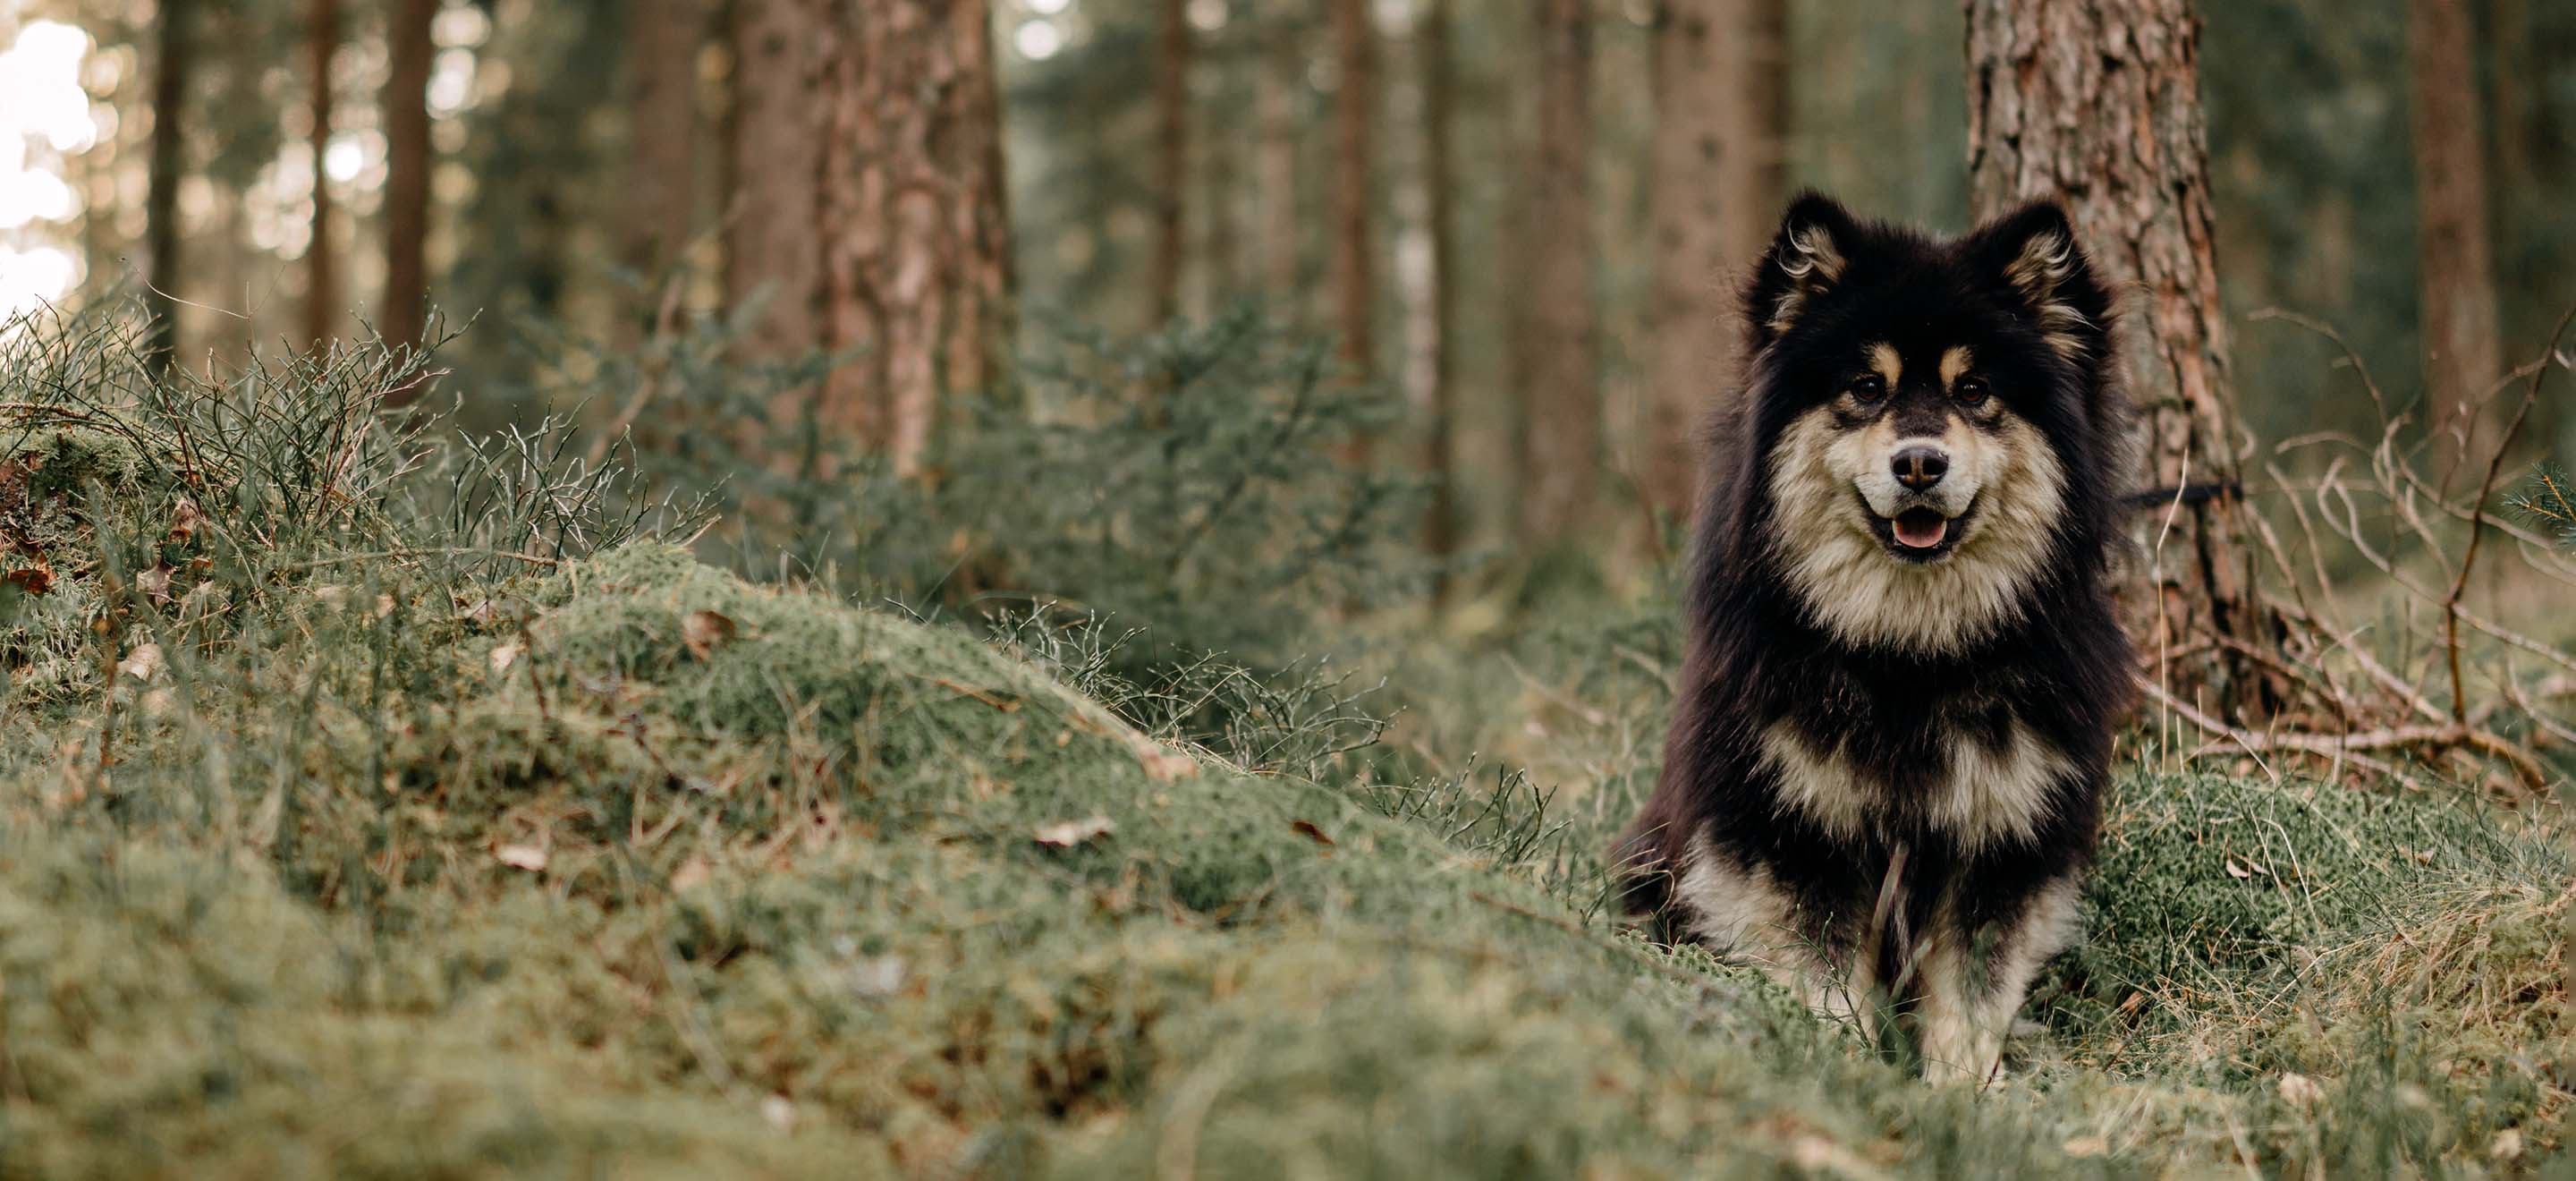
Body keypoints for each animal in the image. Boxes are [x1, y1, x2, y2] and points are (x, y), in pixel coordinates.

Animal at [1617, 196, 2143, 1088]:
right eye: (1867, 388)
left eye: (1975, 390)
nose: (1920, 463)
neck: (1908, 658)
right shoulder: (1794, 837)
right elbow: (1826, 985)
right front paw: (1844, 1077)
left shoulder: (2000, 842)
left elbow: (1971, 998)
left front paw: (1960, 1096)